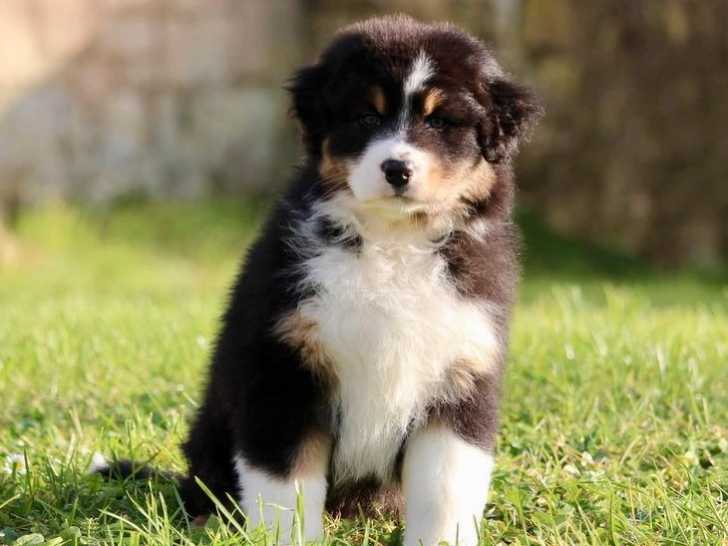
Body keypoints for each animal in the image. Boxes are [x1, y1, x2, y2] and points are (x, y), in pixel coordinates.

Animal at [101, 15, 541, 546]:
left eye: (440, 122)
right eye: (366, 117)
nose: (396, 169)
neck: (392, 243)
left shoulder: (462, 371)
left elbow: (445, 491)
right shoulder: (283, 366)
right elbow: (285, 485)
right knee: (206, 485)